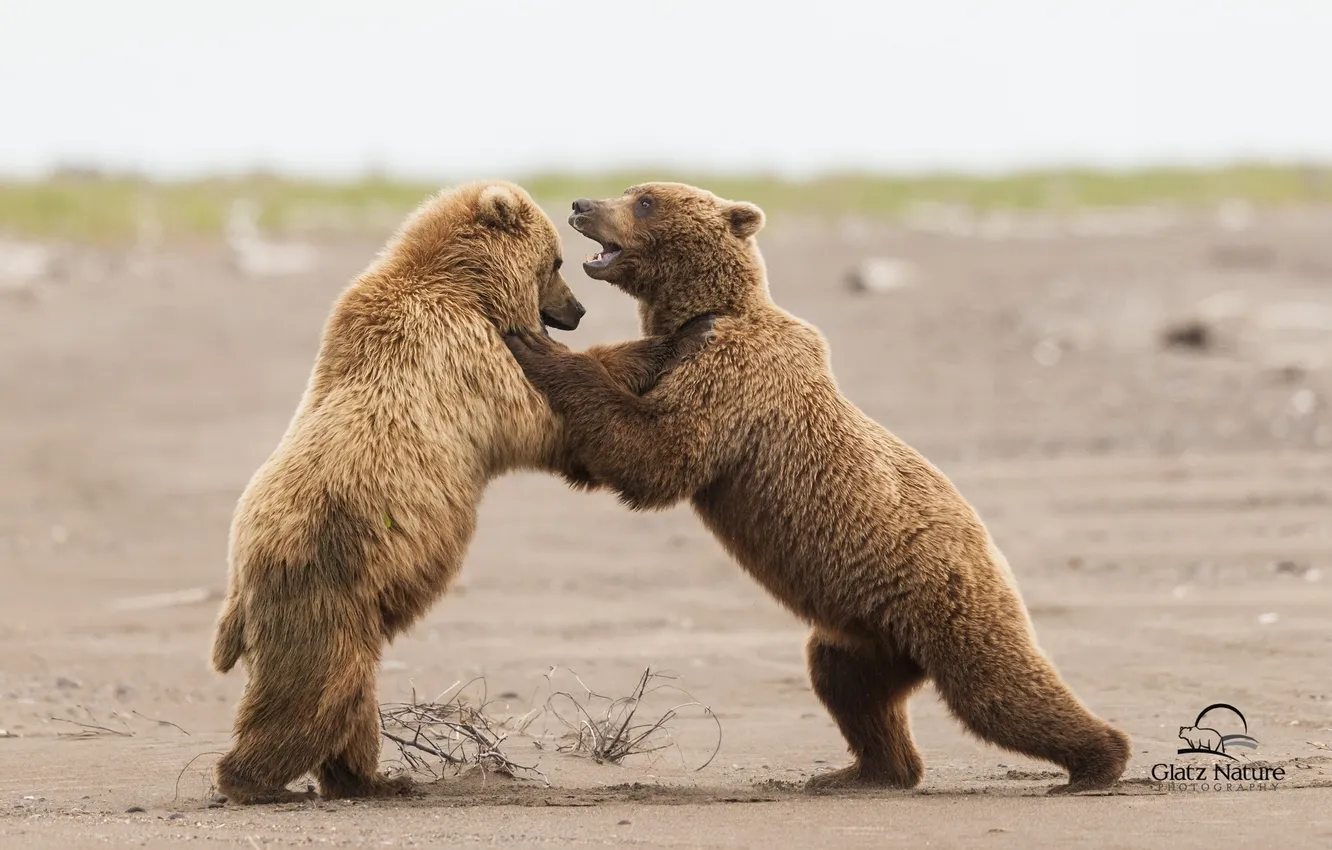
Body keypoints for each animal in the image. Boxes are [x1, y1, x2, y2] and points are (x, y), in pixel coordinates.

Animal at [210, 181, 716, 804]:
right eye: (556, 261)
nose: (577, 310)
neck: (468, 286)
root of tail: (237, 582)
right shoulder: (465, 353)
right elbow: (544, 411)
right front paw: (682, 334)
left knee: (352, 696)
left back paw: (372, 779)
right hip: (323, 585)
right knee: (312, 691)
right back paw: (258, 781)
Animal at [503, 182, 1132, 794]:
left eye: (645, 200)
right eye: (631, 190)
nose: (582, 204)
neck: (707, 309)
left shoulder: (735, 377)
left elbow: (660, 452)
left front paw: (533, 344)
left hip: (949, 601)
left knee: (997, 693)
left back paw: (1097, 763)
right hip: (863, 634)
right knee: (849, 689)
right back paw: (862, 772)